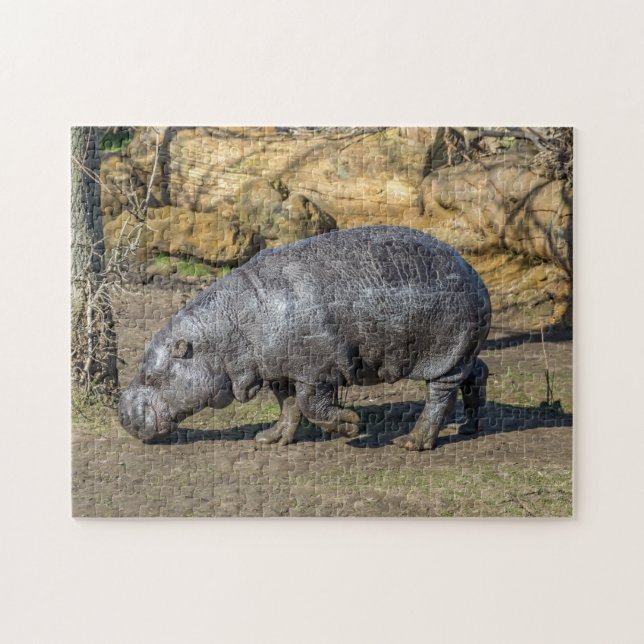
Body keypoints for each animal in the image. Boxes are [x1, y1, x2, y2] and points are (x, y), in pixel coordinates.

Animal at [118, 225, 491, 451]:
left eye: (150, 376)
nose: (120, 413)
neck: (225, 331)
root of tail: (475, 275)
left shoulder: (316, 370)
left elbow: (311, 406)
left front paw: (352, 425)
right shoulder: (279, 370)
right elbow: (288, 405)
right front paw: (269, 438)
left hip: (444, 354)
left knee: (440, 396)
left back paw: (410, 442)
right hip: (462, 352)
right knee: (477, 374)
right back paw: (469, 428)